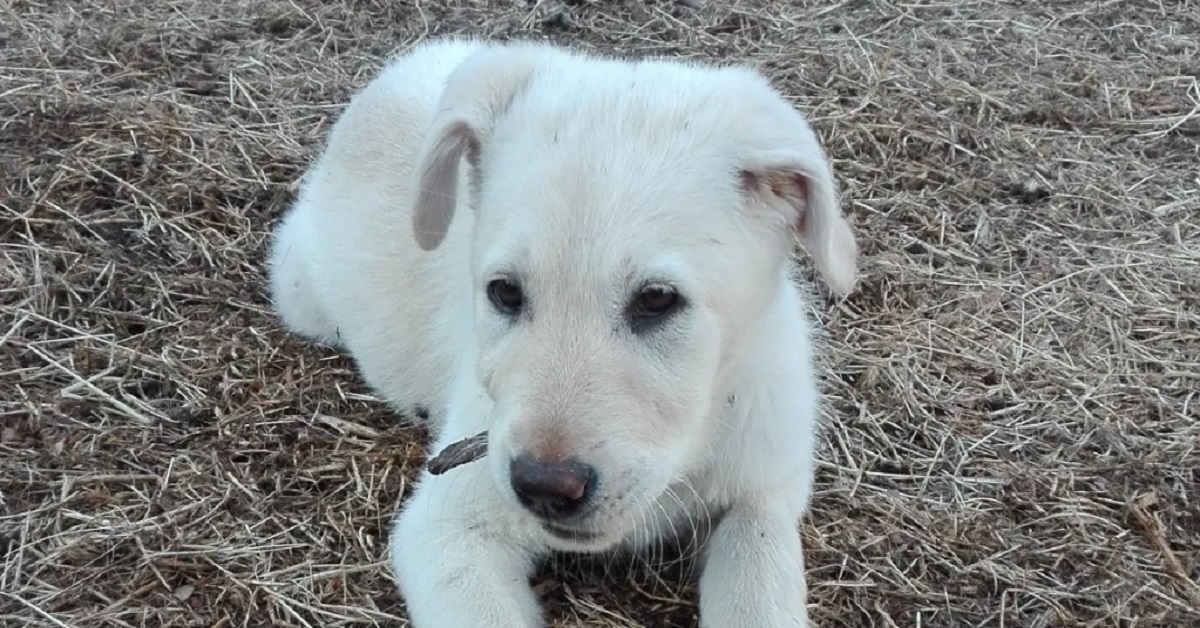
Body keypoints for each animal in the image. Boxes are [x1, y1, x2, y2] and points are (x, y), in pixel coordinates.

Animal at [267, 36, 859, 624]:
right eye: (504, 292)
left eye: (657, 299)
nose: (544, 489)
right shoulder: (448, 528)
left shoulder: (762, 501)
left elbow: (758, 594)